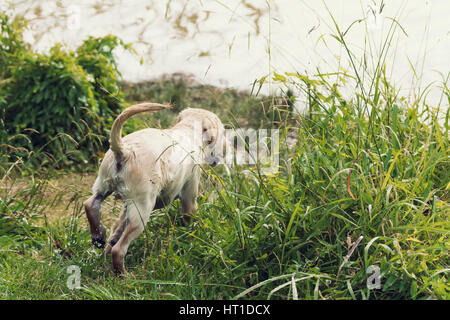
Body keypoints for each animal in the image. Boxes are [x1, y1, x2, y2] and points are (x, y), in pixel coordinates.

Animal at [84, 102, 225, 272]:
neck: (188, 130)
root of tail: (124, 150)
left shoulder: (126, 209)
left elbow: (117, 228)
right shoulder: (189, 195)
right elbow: (189, 216)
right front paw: (190, 236)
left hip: (104, 184)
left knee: (90, 204)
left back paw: (98, 236)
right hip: (142, 209)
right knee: (119, 250)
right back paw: (123, 274)